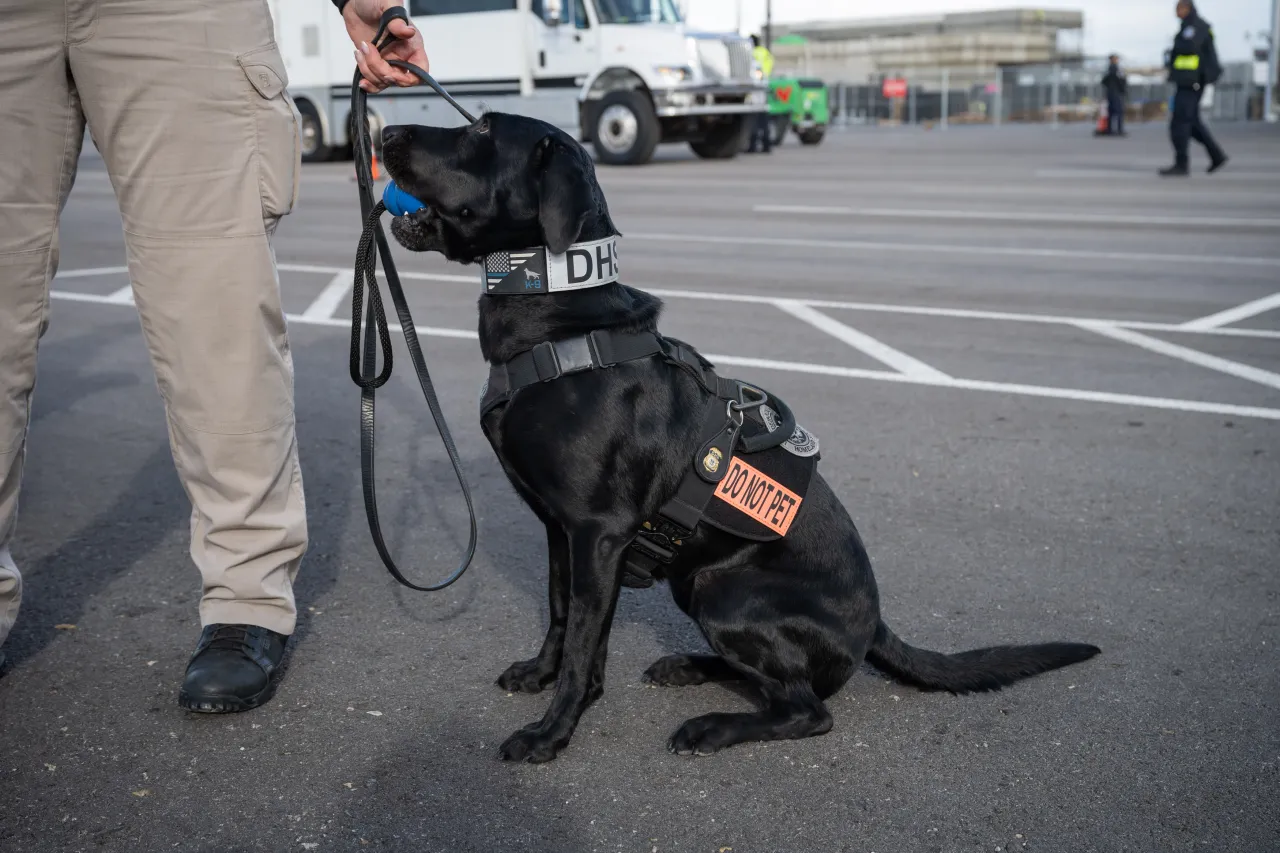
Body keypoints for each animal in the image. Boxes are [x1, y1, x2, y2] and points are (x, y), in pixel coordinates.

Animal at [376, 114, 1100, 763]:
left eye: (482, 129)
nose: (384, 132)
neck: (559, 325)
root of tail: (875, 627)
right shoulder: (560, 529)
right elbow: (559, 614)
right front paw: (540, 675)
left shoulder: (598, 533)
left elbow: (584, 642)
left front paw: (552, 733)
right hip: (694, 582)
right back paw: (691, 668)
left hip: (724, 592)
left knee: (807, 709)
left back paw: (713, 727)